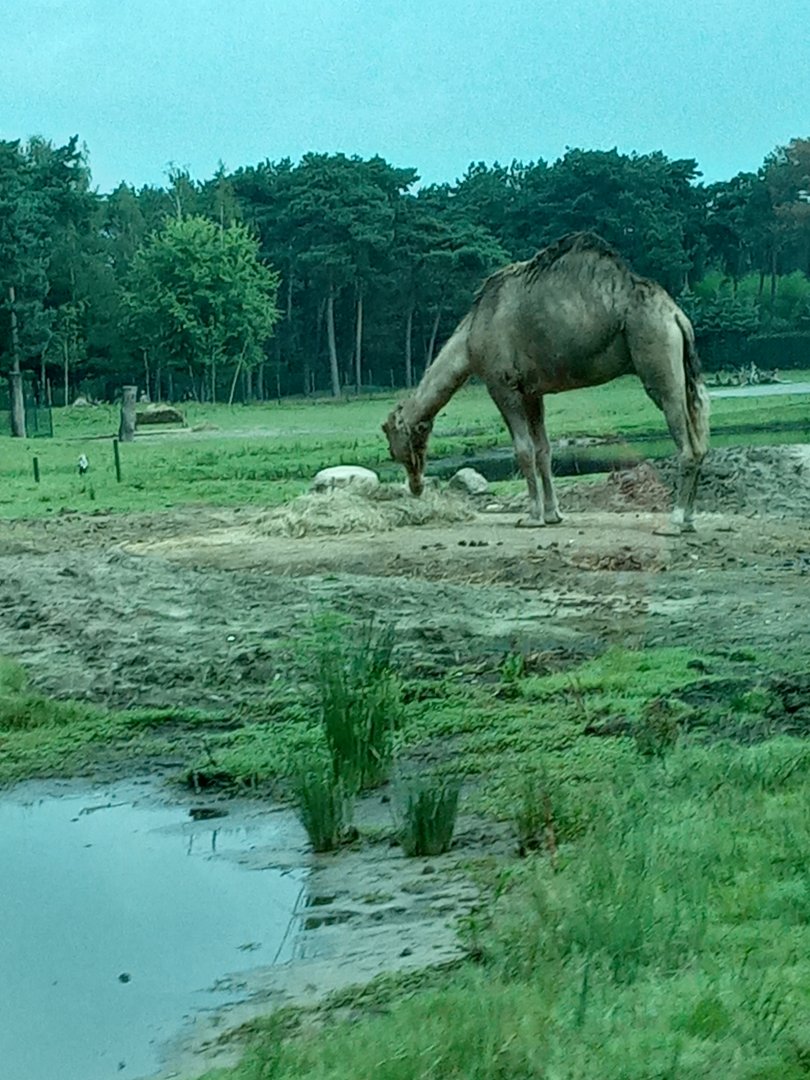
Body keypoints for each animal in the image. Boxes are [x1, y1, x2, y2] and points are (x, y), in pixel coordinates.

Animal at [383, 232, 710, 531]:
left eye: (392, 443)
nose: (415, 487)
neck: (470, 341)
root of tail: (677, 317)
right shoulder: (532, 391)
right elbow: (544, 450)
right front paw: (553, 515)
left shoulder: (503, 385)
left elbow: (524, 449)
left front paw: (531, 517)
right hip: (684, 367)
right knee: (699, 429)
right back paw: (689, 520)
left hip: (656, 353)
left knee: (683, 436)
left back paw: (674, 522)